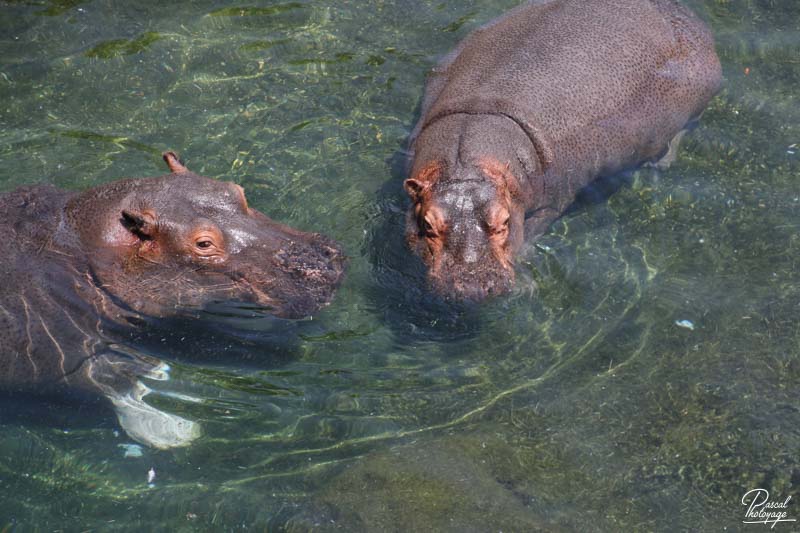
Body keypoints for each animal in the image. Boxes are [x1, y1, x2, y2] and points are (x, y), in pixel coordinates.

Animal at [0, 152, 344, 446]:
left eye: (237, 191)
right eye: (203, 244)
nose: (320, 263)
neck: (76, 242)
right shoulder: (56, 353)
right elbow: (110, 382)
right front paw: (175, 431)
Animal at [404, 0, 720, 300]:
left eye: (504, 222)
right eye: (428, 224)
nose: (472, 287)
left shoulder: (553, 202)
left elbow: (529, 235)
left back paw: (660, 162)